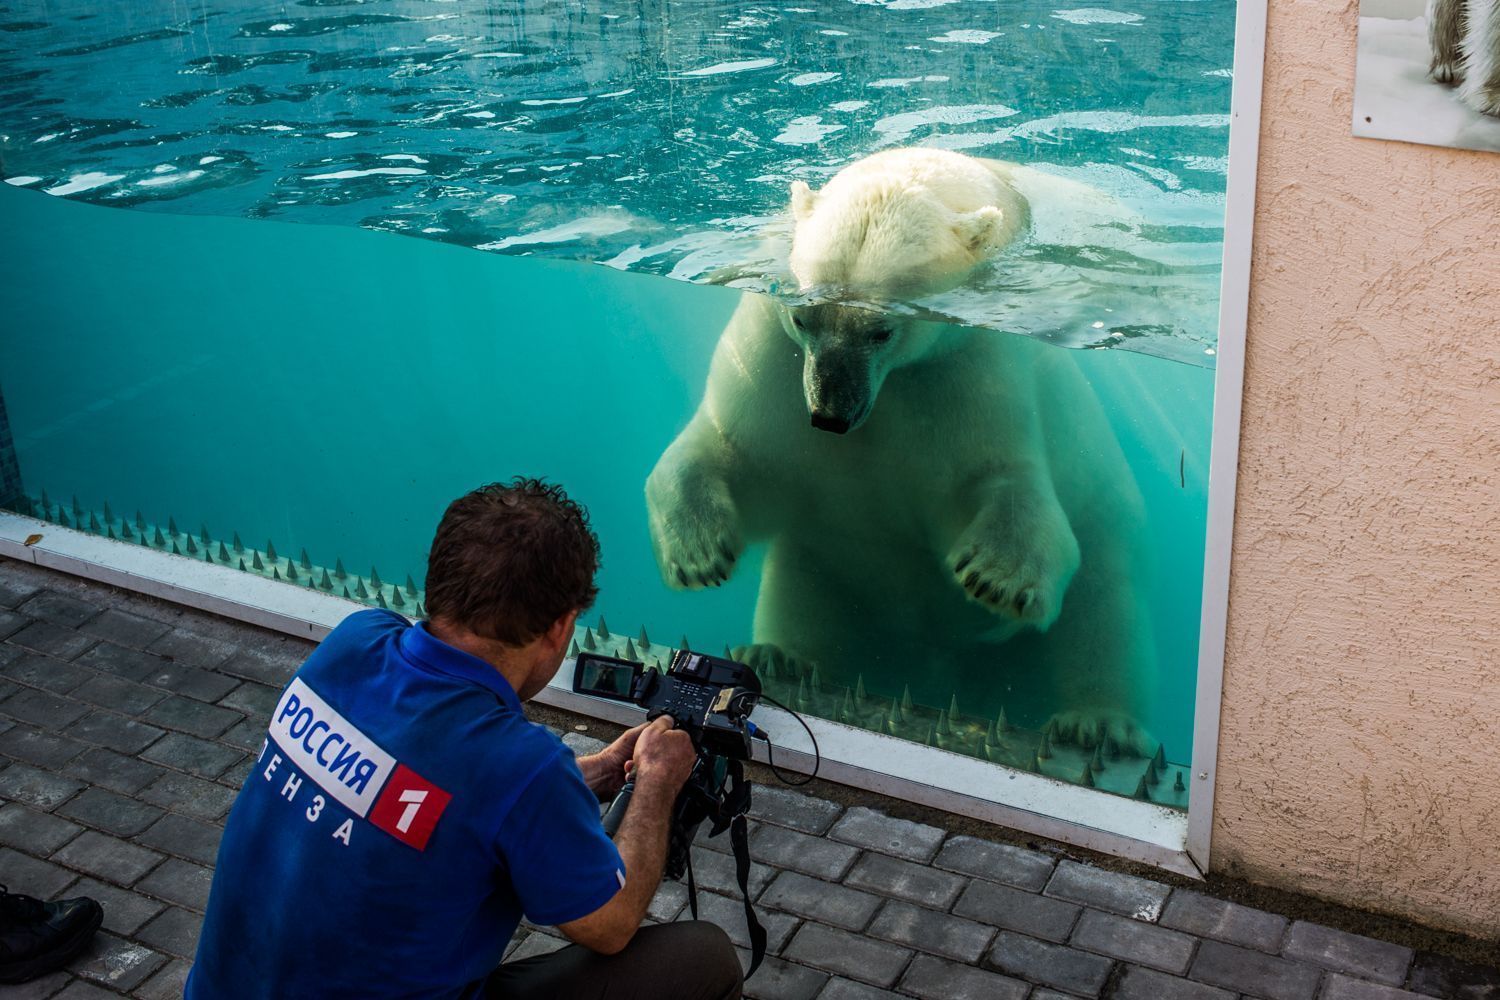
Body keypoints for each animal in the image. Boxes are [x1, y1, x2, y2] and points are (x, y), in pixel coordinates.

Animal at [648, 148, 1158, 755]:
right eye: (803, 316)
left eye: (882, 330)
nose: (830, 415)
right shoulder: (770, 359)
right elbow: (737, 453)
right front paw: (700, 553)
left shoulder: (964, 366)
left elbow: (995, 475)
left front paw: (996, 579)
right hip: (824, 567)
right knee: (802, 592)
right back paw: (779, 657)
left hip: (1110, 528)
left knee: (1103, 617)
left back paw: (1097, 725)